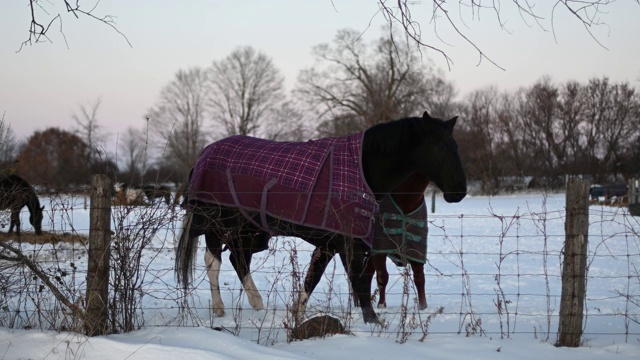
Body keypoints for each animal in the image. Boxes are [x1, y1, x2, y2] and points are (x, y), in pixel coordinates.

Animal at [175, 110, 464, 324]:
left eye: (455, 146)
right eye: (439, 146)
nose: (459, 191)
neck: (360, 169)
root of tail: (203, 154)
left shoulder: (331, 243)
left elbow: (314, 278)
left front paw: (298, 315)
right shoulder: (346, 242)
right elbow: (358, 280)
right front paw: (373, 323)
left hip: (248, 229)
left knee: (238, 258)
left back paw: (256, 303)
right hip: (217, 224)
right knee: (214, 261)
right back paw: (220, 308)